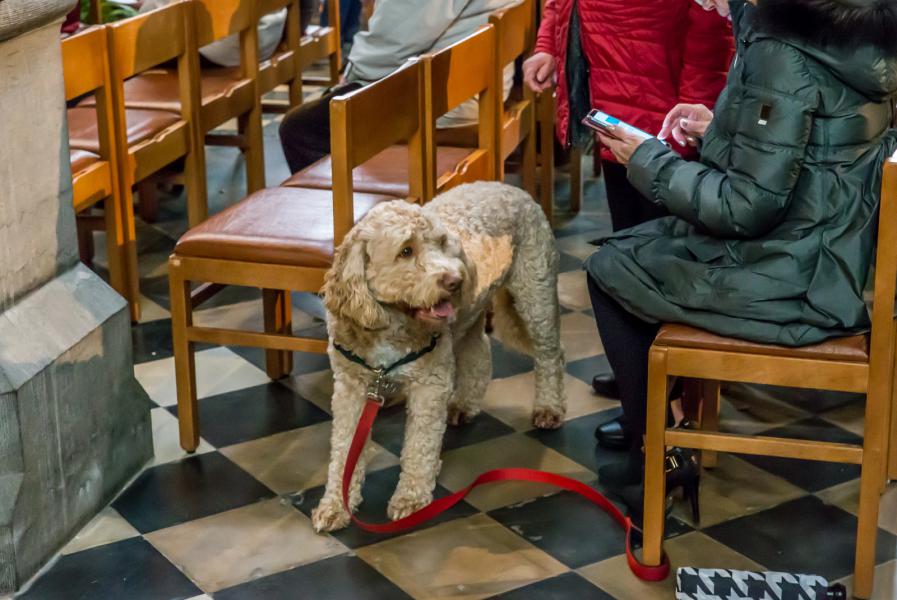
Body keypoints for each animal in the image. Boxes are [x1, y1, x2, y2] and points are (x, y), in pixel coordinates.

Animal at [312, 182, 564, 528]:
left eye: (444, 244)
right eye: (406, 250)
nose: (455, 280)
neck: (391, 321)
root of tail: (509, 187)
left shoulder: (429, 385)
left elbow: (420, 446)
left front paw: (411, 499)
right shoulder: (350, 389)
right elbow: (344, 449)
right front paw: (336, 504)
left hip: (535, 295)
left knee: (551, 355)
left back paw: (549, 408)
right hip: (469, 316)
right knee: (479, 352)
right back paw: (464, 404)